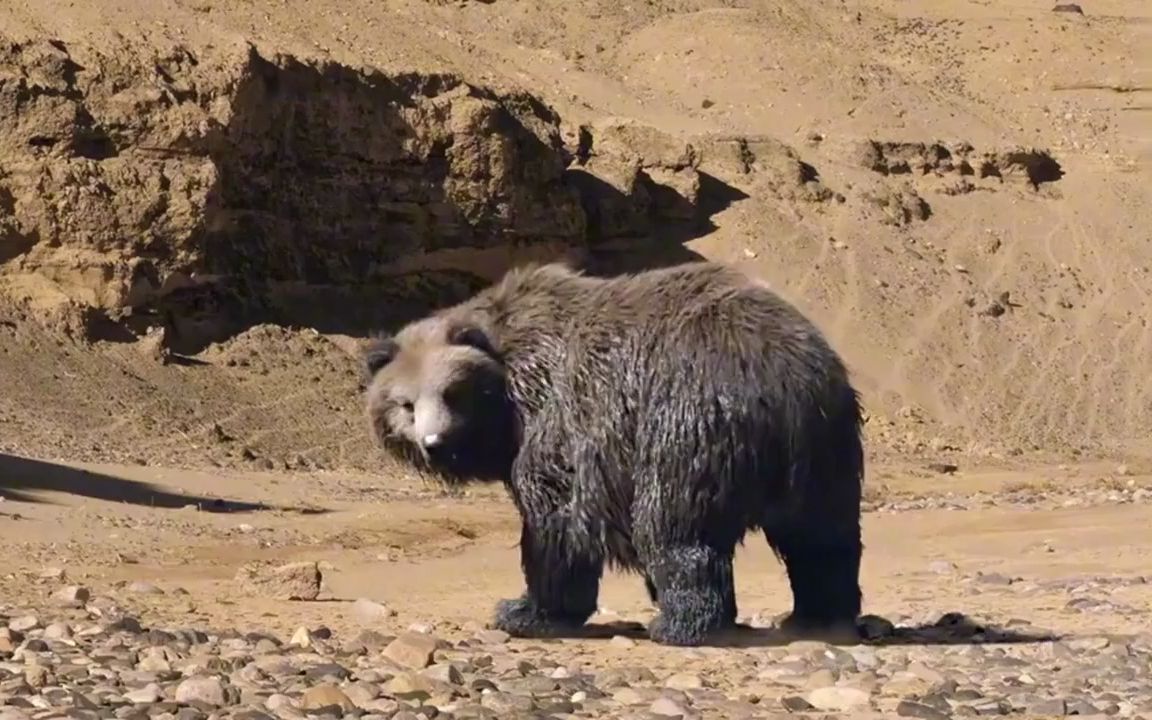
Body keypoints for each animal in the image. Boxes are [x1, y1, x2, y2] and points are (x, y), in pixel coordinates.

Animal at [359, 258, 866, 645]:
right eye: (406, 404)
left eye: (451, 393)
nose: (435, 444)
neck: (508, 397)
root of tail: (781, 380)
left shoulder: (561, 420)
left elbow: (556, 523)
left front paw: (524, 610)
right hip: (826, 443)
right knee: (822, 535)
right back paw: (819, 612)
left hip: (688, 422)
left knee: (675, 524)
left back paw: (679, 624)